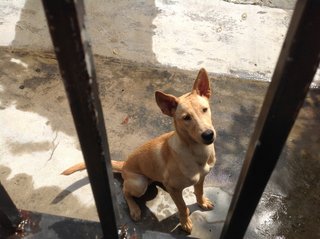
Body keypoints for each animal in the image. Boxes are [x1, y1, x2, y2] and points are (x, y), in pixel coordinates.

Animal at [62, 68, 218, 232]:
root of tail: (124, 164)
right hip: (139, 183)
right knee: (125, 191)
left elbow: (199, 191)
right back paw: (134, 209)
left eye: (205, 109)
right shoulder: (174, 188)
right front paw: (185, 222)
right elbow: (182, 207)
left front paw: (202, 202)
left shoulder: (201, 178)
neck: (196, 151)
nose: (208, 135)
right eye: (186, 117)